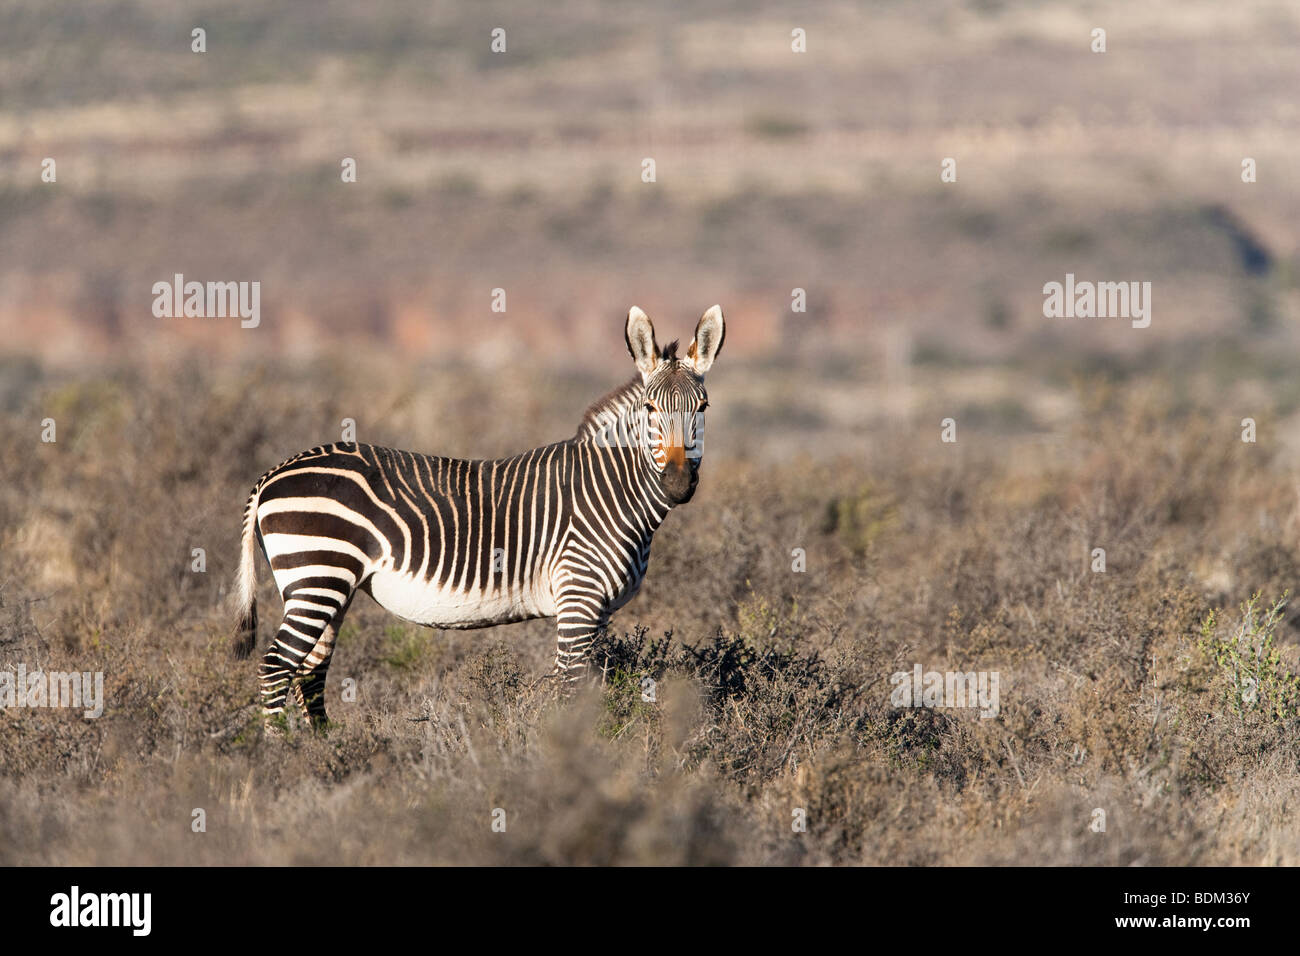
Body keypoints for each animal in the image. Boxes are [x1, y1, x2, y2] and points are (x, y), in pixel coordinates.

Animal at [233, 304, 722, 723]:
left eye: (702, 409)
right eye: (650, 409)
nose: (677, 484)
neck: (611, 491)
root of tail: (275, 472)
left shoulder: (600, 609)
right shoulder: (577, 598)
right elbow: (570, 688)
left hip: (325, 585)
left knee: (309, 672)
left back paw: (321, 750)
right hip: (317, 576)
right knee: (276, 667)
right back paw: (282, 755)